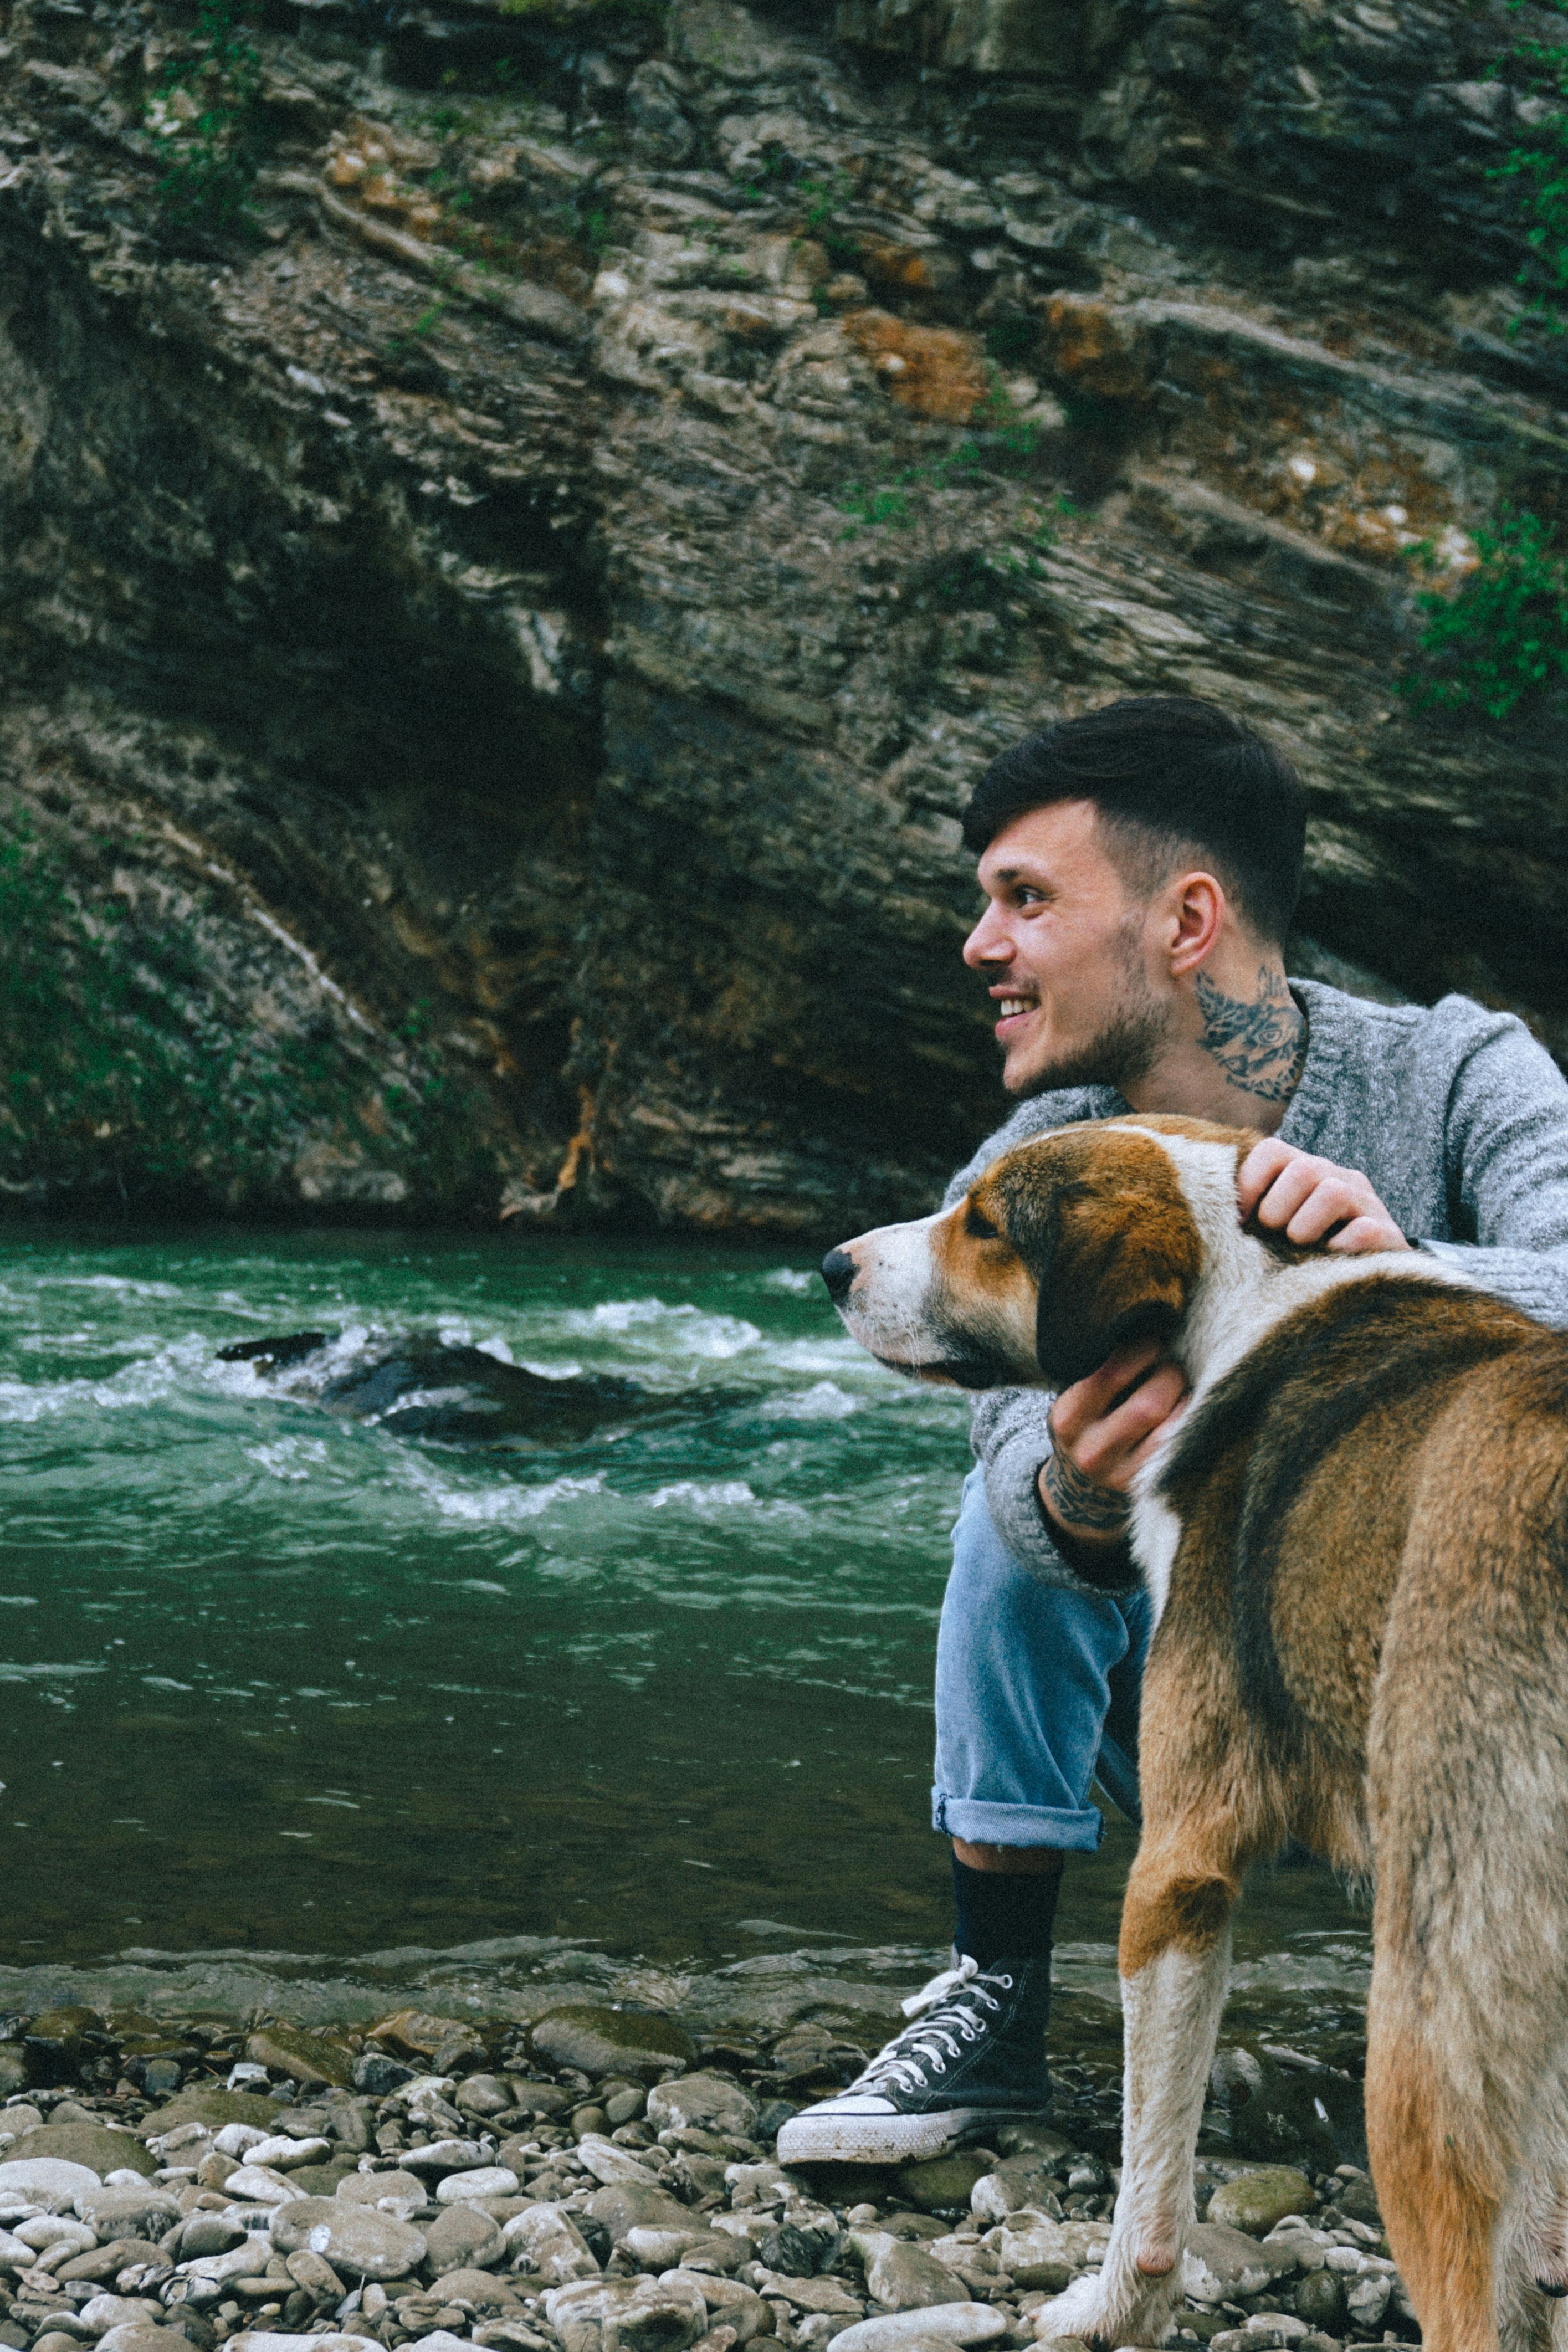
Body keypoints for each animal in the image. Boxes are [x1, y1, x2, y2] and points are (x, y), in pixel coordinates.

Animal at [823, 1115, 1568, 2352]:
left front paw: (1113, 2307)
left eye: (986, 1221)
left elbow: (1151, 2173)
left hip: (1433, 2011)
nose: (832, 1265)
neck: (1244, 1308)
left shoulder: (1178, 1868)